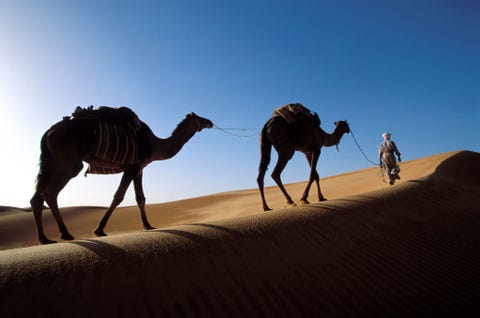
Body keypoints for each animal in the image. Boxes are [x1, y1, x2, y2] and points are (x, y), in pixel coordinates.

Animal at [29, 107, 211, 243]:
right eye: (199, 118)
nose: (210, 122)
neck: (154, 144)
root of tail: (49, 131)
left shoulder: (139, 169)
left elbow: (140, 198)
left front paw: (148, 225)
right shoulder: (131, 167)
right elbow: (118, 196)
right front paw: (99, 229)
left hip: (52, 162)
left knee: (38, 196)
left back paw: (45, 238)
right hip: (68, 163)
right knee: (50, 192)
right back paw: (65, 234)